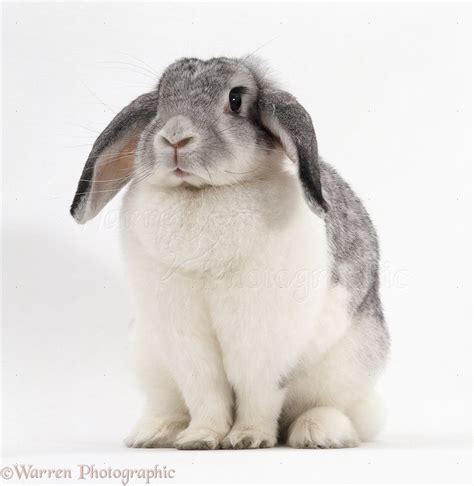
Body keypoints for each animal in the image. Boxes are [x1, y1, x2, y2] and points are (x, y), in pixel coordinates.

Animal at [70, 58, 388, 452]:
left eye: (235, 100)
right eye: (160, 101)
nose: (175, 137)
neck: (201, 193)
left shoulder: (262, 334)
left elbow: (258, 392)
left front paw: (248, 438)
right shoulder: (181, 333)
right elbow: (205, 390)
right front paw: (200, 438)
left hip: (348, 366)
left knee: (338, 410)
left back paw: (318, 432)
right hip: (150, 358)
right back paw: (155, 433)